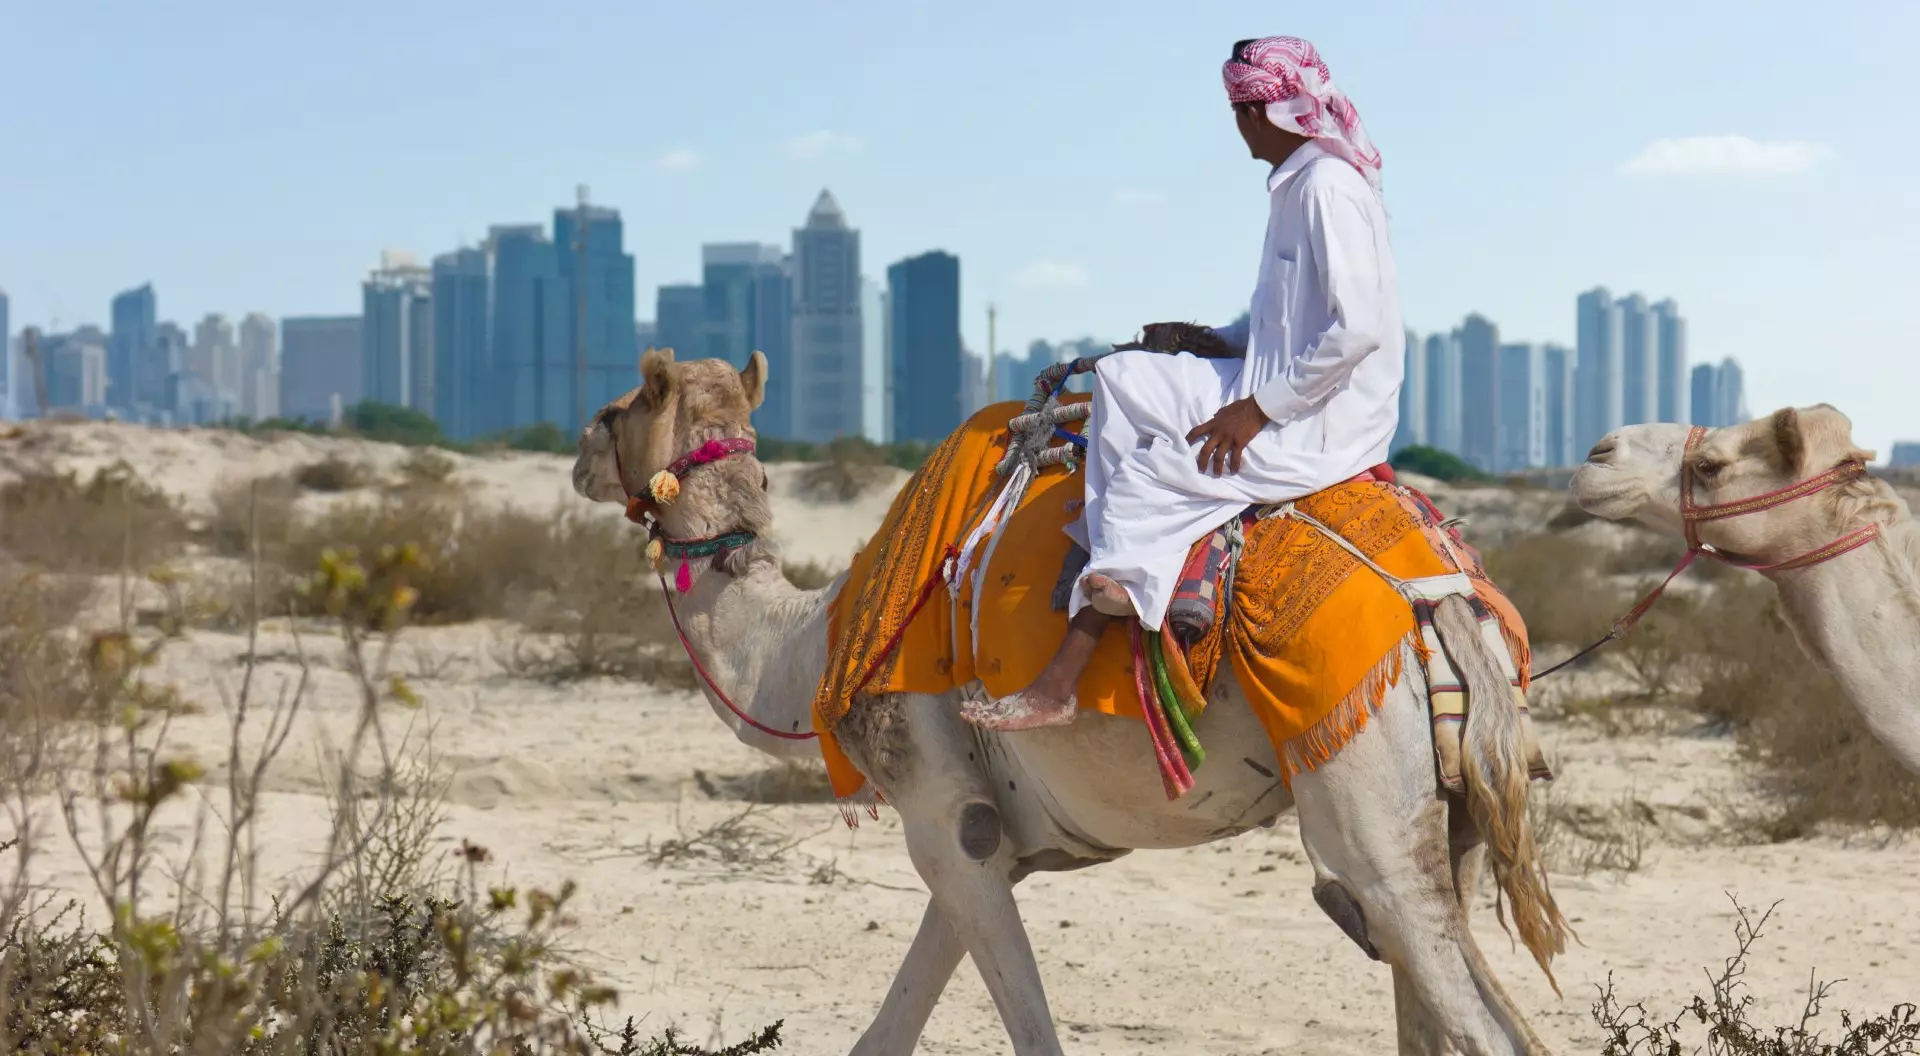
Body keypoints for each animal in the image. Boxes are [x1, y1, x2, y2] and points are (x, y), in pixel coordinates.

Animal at [573, 348, 1569, 1056]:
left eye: (616, 409)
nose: (581, 453)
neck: (814, 643)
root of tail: (1441, 603)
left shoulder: (945, 818)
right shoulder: (990, 841)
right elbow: (891, 1023)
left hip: (1364, 790)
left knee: (1445, 977)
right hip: (1453, 807)